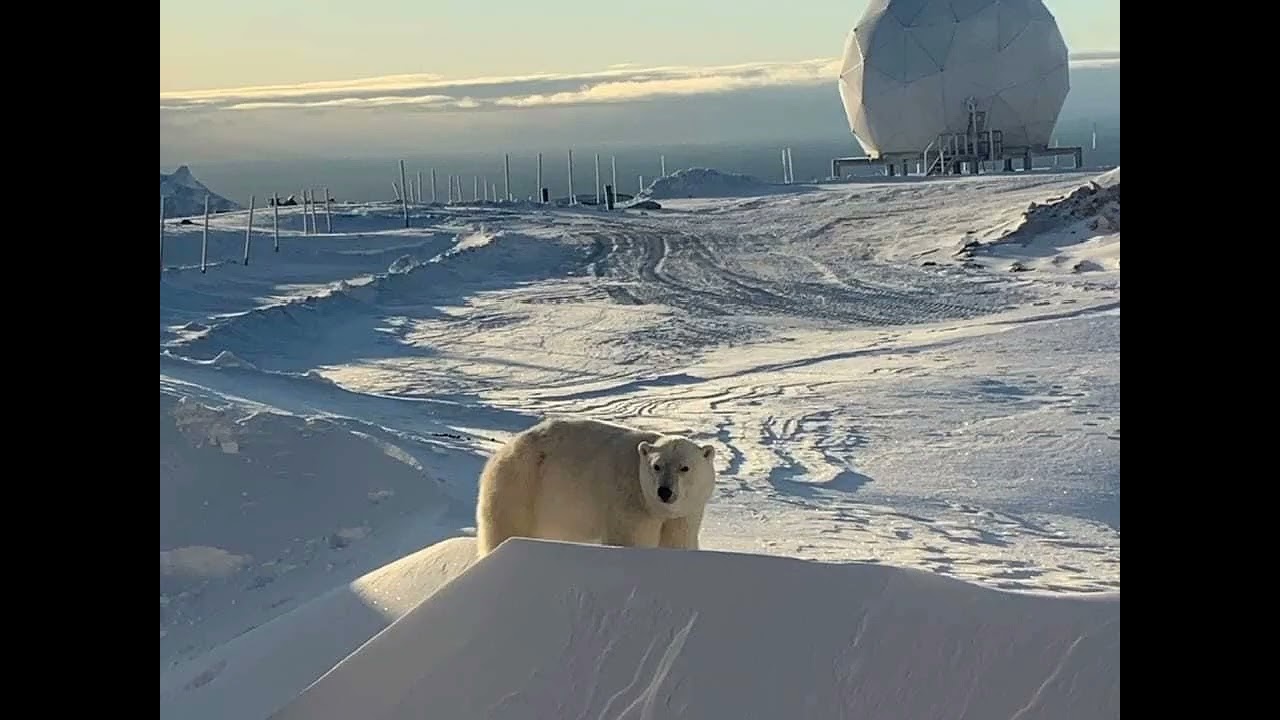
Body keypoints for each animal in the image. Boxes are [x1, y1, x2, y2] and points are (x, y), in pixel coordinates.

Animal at [474, 416, 717, 557]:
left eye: (684, 467)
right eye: (656, 466)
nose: (664, 491)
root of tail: (502, 452)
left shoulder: (685, 515)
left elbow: (678, 541)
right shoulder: (629, 502)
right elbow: (630, 540)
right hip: (521, 486)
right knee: (505, 528)